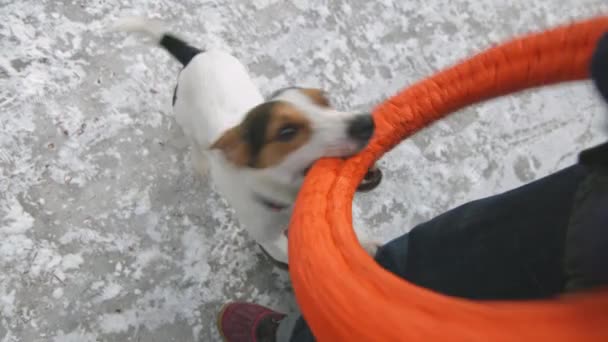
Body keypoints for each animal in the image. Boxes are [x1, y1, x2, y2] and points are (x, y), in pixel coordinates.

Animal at [113, 18, 380, 264]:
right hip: (184, 117)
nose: (366, 123)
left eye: (325, 101)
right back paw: (200, 162)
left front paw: (364, 243)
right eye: (286, 132)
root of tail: (196, 55)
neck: (284, 201)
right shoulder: (268, 240)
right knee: (193, 141)